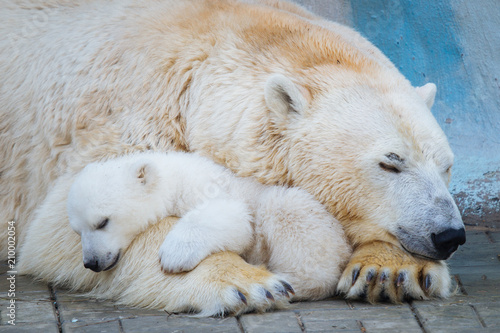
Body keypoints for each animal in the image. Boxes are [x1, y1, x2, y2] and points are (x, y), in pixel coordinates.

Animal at [66, 150, 350, 280]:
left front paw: (174, 255)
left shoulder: (208, 188)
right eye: (78, 231)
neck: (174, 178)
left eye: (102, 222)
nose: (91, 262)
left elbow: (234, 218)